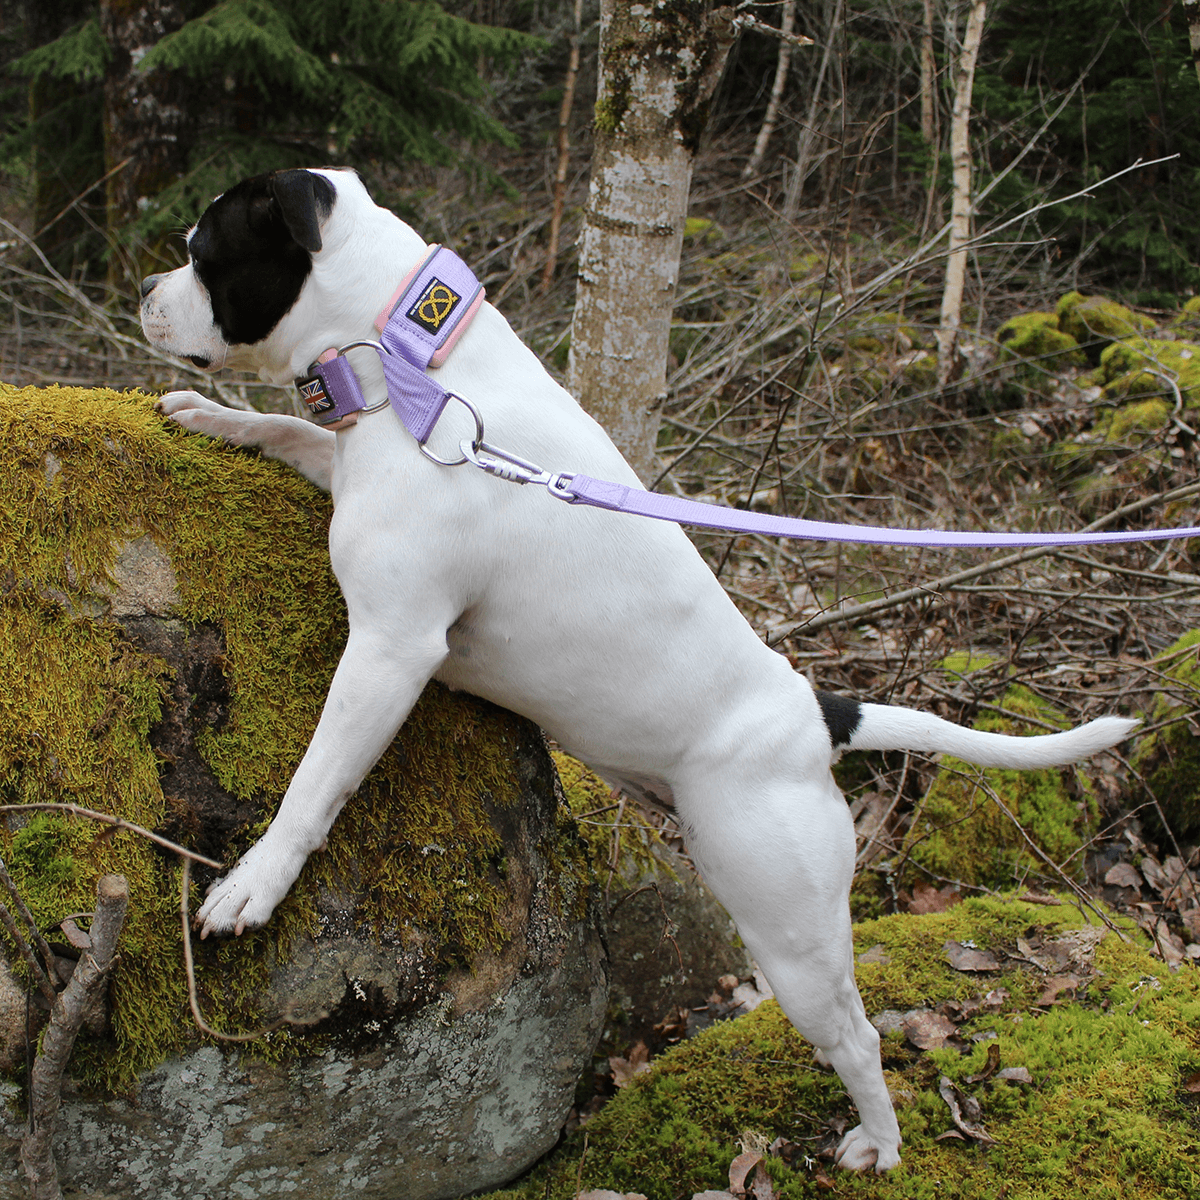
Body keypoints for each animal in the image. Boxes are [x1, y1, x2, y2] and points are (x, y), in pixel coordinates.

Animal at [140, 169, 1132, 1171]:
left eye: (201, 253)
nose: (145, 292)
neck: (408, 365)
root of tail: (814, 713)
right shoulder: (347, 479)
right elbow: (283, 429)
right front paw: (216, 417)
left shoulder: (391, 645)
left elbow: (314, 785)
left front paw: (256, 882)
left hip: (790, 928)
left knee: (857, 1037)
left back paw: (879, 1146)